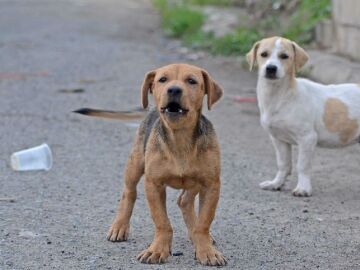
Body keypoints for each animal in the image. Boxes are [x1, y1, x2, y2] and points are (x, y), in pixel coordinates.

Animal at [75, 63, 226, 266]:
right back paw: (119, 227)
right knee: (129, 193)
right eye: (162, 80)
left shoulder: (211, 184)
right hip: (135, 164)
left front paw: (206, 250)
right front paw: (157, 250)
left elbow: (203, 223)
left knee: (184, 201)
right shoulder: (153, 184)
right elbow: (162, 222)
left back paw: (194, 233)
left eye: (192, 81)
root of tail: (151, 109)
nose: (174, 90)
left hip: (195, 182)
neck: (180, 138)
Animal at [246, 35, 360, 196]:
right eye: (263, 54)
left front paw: (303, 188)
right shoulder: (278, 139)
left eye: (284, 56)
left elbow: (302, 166)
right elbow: (283, 164)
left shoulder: (307, 138)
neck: (280, 96)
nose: (271, 68)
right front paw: (276, 184)